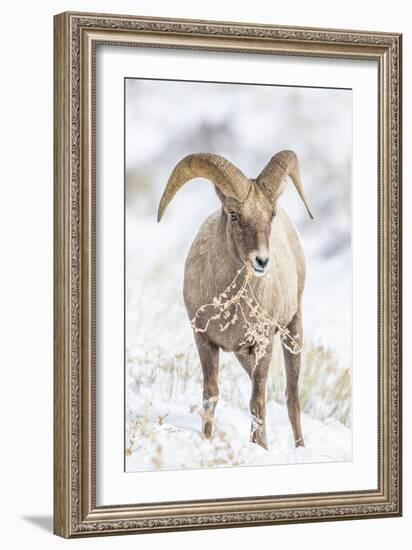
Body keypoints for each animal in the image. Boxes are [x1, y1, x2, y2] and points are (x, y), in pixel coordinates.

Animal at [158, 150, 312, 448]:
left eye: (271, 214)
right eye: (233, 214)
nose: (262, 261)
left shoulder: (263, 344)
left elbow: (257, 402)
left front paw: (260, 447)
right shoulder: (205, 341)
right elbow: (211, 395)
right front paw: (207, 440)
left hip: (293, 330)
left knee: (292, 398)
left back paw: (299, 448)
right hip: (244, 354)